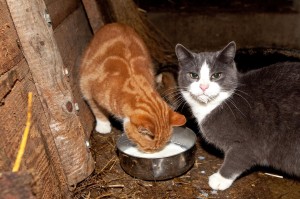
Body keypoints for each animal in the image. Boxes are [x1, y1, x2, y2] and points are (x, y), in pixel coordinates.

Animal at [176, 41, 300, 190]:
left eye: (216, 75)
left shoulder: (250, 142)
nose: (203, 87)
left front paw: (220, 179)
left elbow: (237, 158)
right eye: (193, 75)